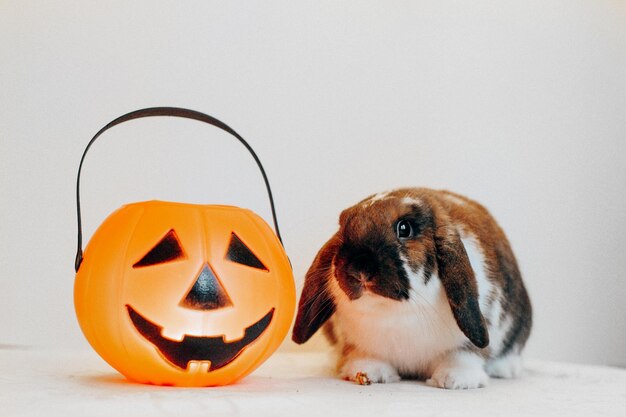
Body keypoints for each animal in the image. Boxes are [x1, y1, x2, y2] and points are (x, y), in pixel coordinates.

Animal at [292, 187, 532, 388]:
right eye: (343, 228)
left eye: (404, 228)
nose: (359, 267)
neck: (393, 313)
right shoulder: (357, 343)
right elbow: (362, 355)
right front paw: (371, 372)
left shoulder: (480, 326)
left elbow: (466, 353)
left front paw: (455, 380)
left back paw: (505, 369)